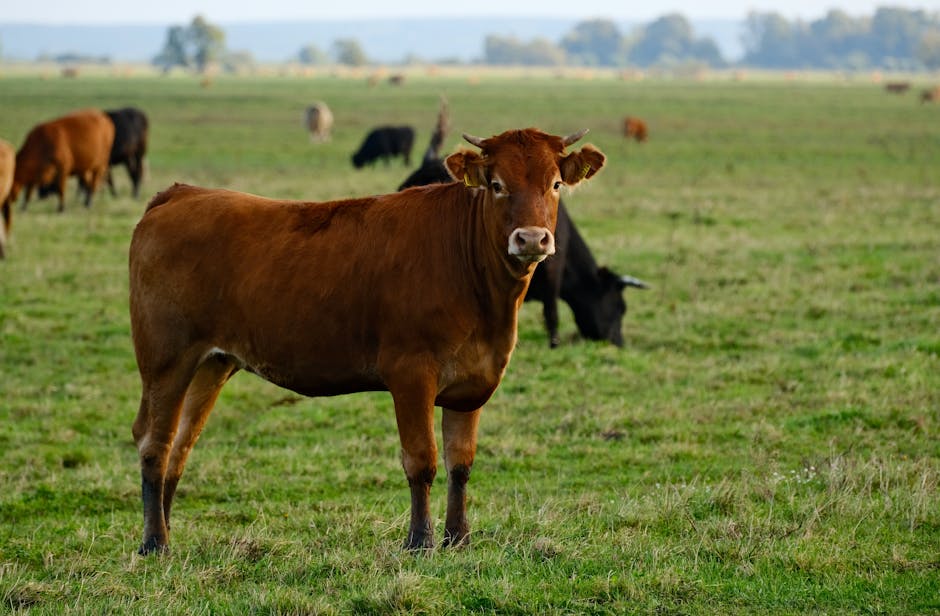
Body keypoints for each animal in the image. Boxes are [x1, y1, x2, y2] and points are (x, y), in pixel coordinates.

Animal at [129, 127, 606, 554]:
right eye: (497, 185)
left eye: (556, 184)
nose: (532, 238)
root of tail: (180, 194)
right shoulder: (411, 374)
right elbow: (422, 460)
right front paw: (420, 541)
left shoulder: (473, 382)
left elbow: (461, 462)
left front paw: (458, 537)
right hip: (166, 361)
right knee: (155, 443)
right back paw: (154, 543)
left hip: (211, 364)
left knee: (180, 446)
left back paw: (166, 530)